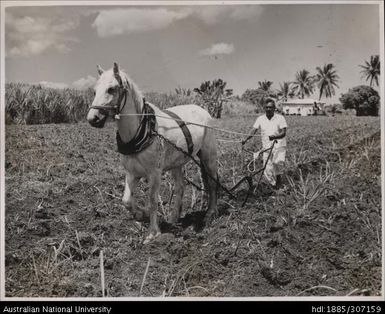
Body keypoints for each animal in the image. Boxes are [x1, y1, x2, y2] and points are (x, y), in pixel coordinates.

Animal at [87, 61, 218, 243]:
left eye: (111, 89)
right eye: (94, 91)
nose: (93, 119)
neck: (142, 131)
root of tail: (201, 108)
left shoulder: (154, 173)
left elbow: (153, 200)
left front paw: (152, 232)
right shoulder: (132, 173)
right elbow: (126, 200)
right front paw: (140, 214)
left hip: (208, 156)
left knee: (212, 182)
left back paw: (210, 214)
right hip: (176, 163)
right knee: (180, 186)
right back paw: (173, 218)